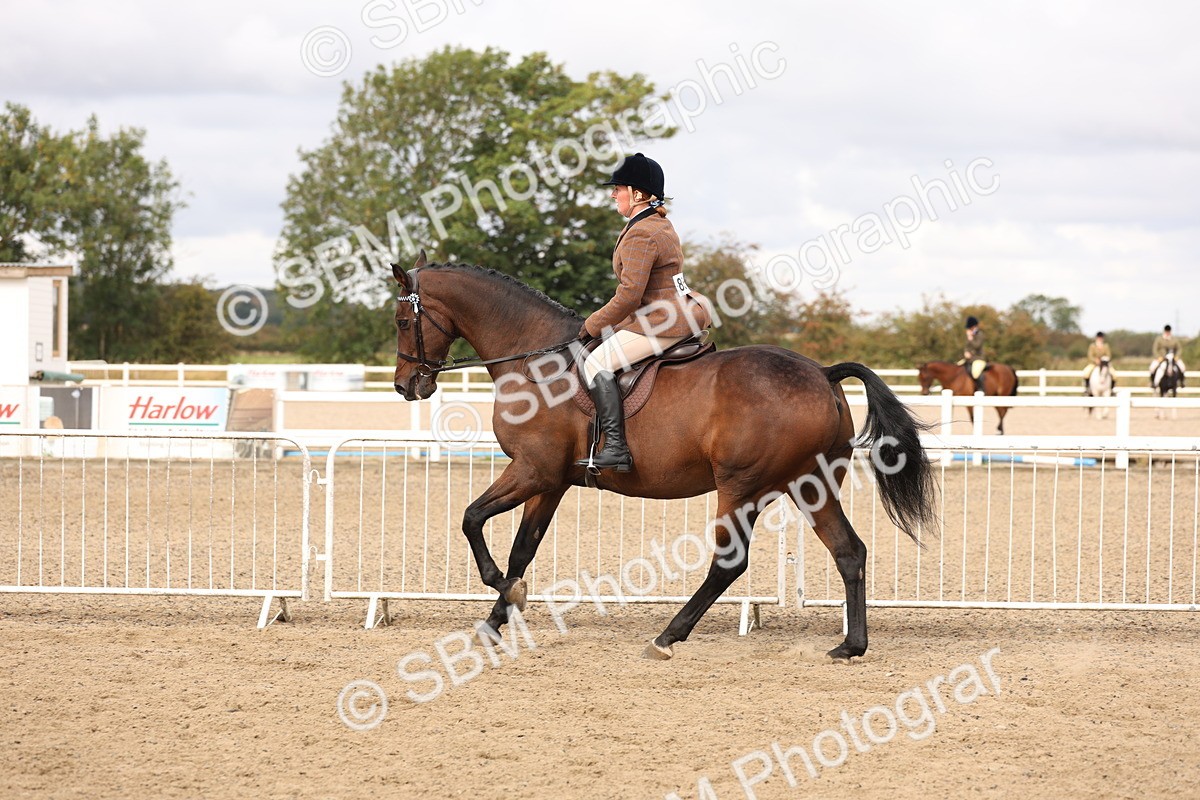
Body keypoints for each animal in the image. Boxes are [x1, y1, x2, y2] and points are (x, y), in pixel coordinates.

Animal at [390, 254, 937, 661]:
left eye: (400, 320)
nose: (405, 386)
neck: (534, 359)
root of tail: (822, 374)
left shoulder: (532, 470)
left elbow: (471, 519)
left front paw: (505, 594)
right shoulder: (551, 481)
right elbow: (522, 549)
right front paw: (496, 619)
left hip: (741, 487)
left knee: (729, 563)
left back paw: (667, 636)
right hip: (808, 486)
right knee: (849, 551)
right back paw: (850, 646)